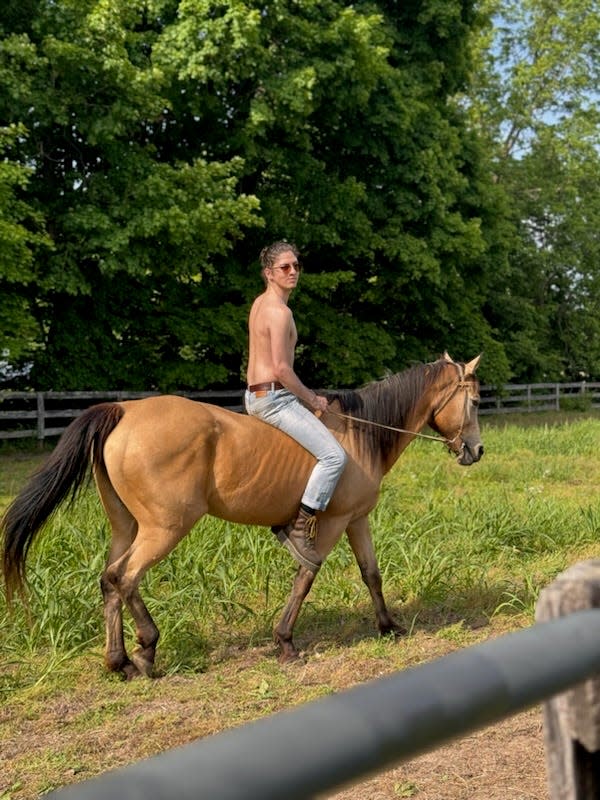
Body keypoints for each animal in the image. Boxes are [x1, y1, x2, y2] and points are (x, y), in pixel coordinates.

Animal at [0, 354, 482, 680]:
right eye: (475, 401)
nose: (476, 451)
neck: (361, 432)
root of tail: (125, 411)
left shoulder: (355, 518)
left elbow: (371, 574)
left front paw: (389, 626)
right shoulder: (330, 523)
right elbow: (306, 576)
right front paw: (285, 642)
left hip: (128, 526)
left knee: (110, 579)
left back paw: (121, 660)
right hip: (165, 528)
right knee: (125, 577)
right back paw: (145, 652)